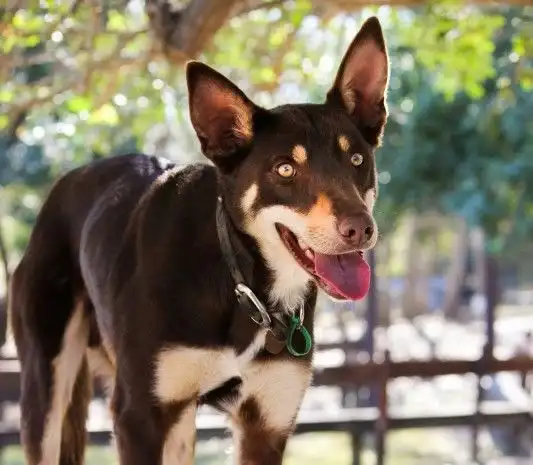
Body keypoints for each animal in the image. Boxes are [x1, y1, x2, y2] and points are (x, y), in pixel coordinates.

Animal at [10, 15, 388, 464]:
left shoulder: (266, 424)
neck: (242, 282)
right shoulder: (139, 416)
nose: (360, 228)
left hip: (178, 425)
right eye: (284, 170)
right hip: (46, 387)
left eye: (357, 160)